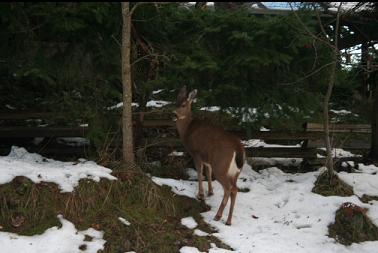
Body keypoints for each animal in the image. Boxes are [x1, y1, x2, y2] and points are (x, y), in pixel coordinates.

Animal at [173, 85, 245, 225]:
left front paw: (200, 194)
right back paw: (228, 220)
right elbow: (208, 171)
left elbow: (200, 171)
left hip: (221, 166)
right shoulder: (207, 158)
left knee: (229, 188)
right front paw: (210, 192)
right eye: (175, 101)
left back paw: (218, 216)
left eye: (183, 104)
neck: (187, 130)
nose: (173, 114)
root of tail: (238, 148)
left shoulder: (196, 153)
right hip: (235, 172)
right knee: (235, 189)